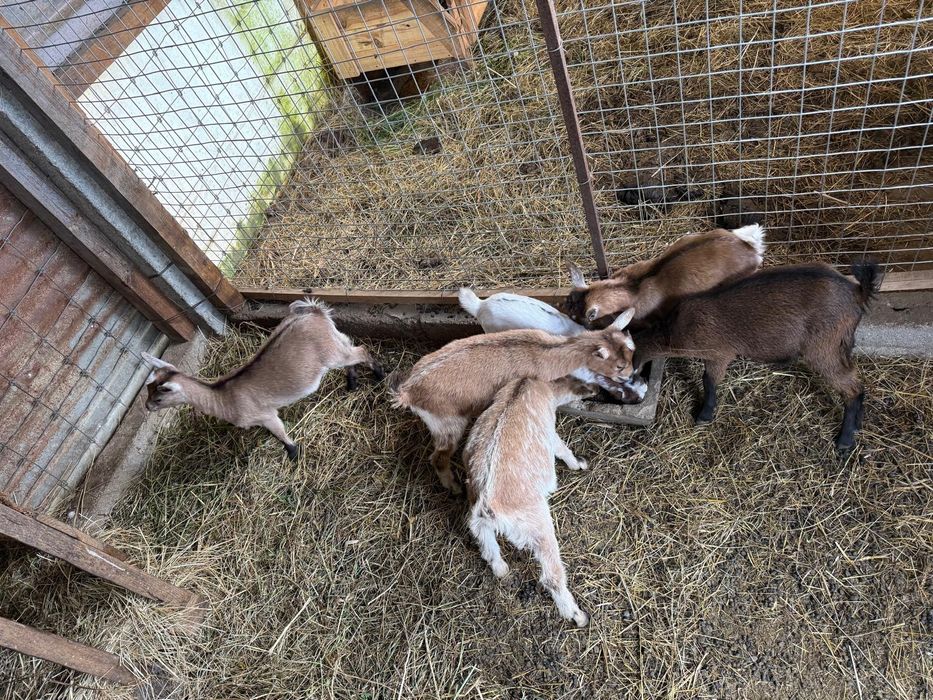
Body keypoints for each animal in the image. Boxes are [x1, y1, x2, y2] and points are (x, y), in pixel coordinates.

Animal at [142, 299, 383, 460]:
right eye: (148, 389)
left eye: (159, 398)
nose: (146, 406)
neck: (224, 396)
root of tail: (313, 311)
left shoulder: (265, 415)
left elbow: (280, 433)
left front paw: (294, 454)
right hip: (334, 342)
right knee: (351, 347)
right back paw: (352, 383)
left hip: (331, 353)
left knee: (361, 351)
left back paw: (379, 375)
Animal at [390, 311, 636, 493]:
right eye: (619, 366)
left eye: (631, 352)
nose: (630, 375)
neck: (544, 352)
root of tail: (408, 392)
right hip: (447, 422)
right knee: (439, 457)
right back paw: (454, 487)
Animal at [465, 376, 595, 626]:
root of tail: (486, 504)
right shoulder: (550, 430)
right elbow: (561, 449)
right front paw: (578, 464)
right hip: (537, 525)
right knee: (551, 576)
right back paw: (578, 615)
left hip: (479, 524)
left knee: (489, 550)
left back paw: (502, 570)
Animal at [631, 262, 880, 451]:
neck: (673, 330)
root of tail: (857, 292)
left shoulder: (719, 353)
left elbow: (708, 380)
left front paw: (704, 414)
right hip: (842, 342)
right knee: (856, 380)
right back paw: (857, 424)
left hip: (823, 347)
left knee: (851, 387)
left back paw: (845, 440)